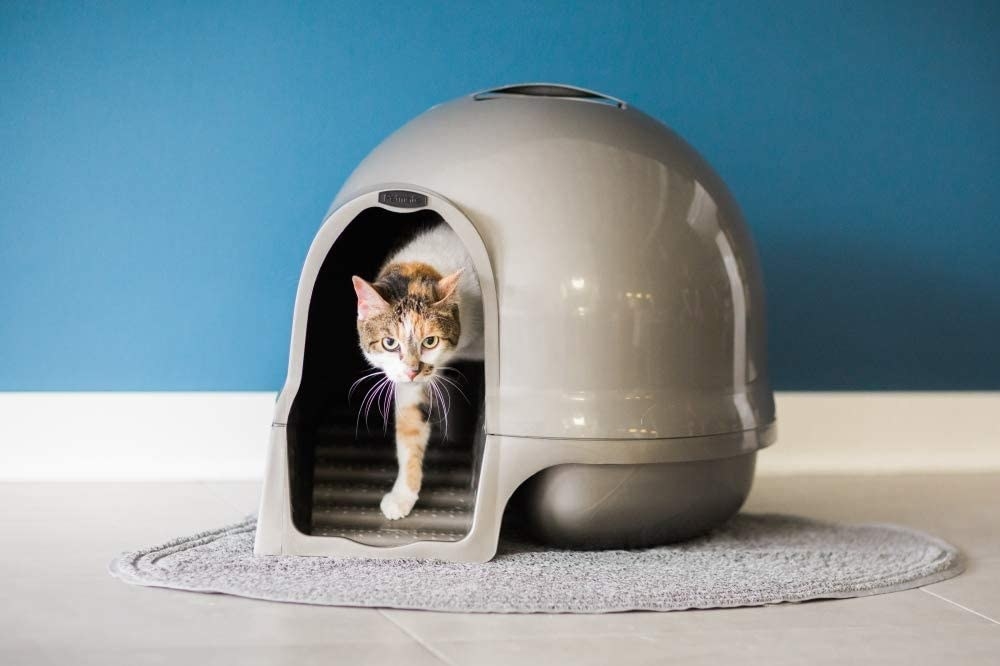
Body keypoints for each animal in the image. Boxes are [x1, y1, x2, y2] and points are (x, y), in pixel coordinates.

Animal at [352, 223, 484, 520]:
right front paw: (403, 496)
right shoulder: (406, 383)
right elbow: (410, 428)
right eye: (390, 343)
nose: (413, 370)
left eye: (430, 341)